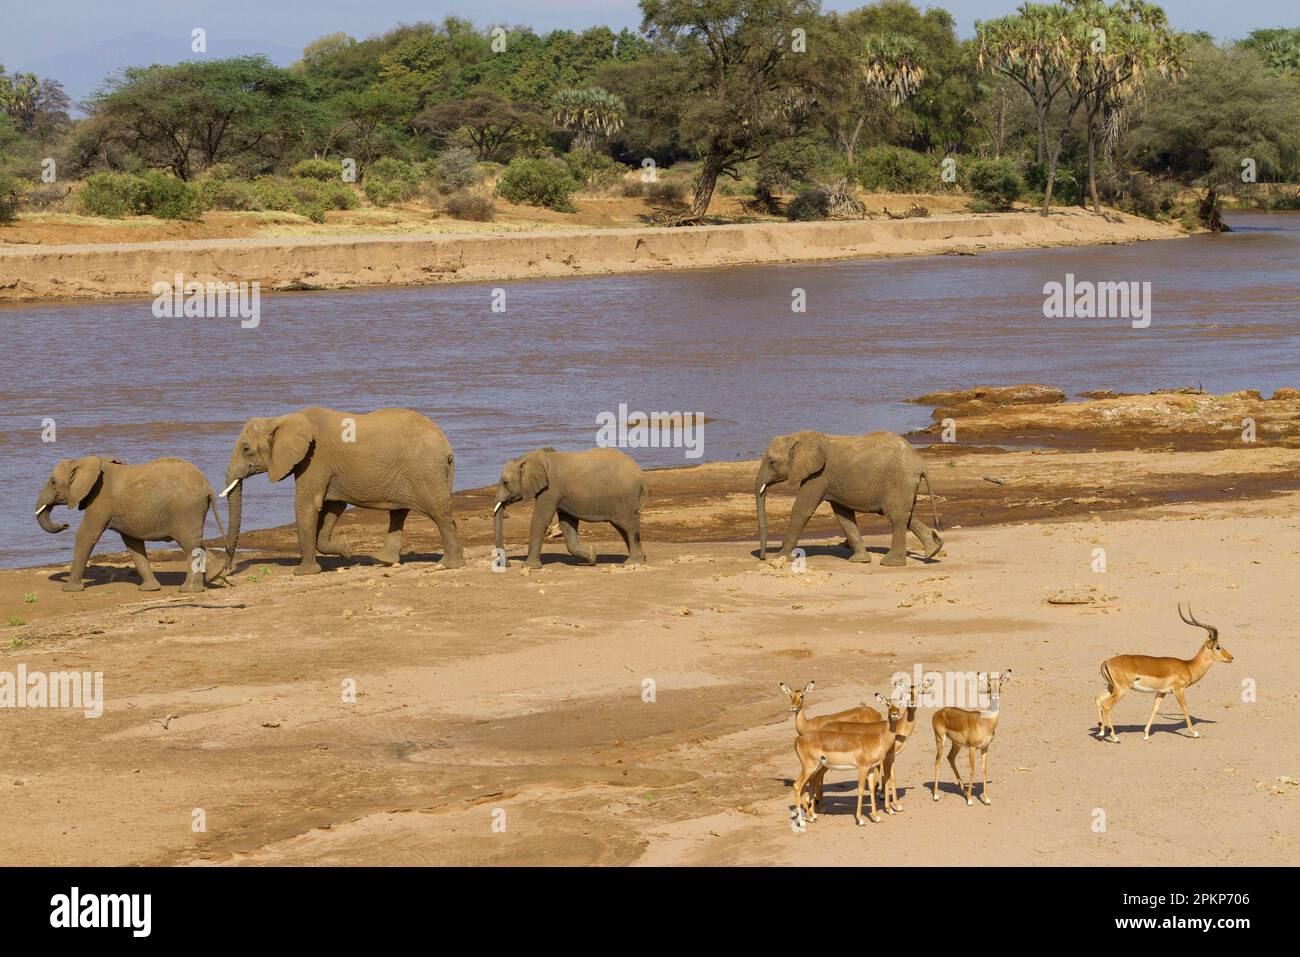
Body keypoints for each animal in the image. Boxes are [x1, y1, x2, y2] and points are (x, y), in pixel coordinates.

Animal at [36, 455, 231, 590]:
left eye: (53, 482)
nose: (65, 524)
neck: (87, 461)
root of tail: (207, 485)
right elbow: (132, 542)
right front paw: (150, 589)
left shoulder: (100, 500)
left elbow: (87, 535)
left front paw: (69, 589)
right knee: (195, 542)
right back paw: (214, 576)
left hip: (186, 510)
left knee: (189, 544)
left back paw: (189, 590)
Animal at [220, 405, 465, 574]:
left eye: (246, 449)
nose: (227, 569)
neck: (282, 419)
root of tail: (447, 446)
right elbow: (332, 507)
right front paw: (346, 550)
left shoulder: (315, 459)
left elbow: (307, 505)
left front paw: (303, 572)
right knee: (399, 513)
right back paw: (383, 560)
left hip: (425, 472)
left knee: (439, 514)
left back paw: (450, 565)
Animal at [488, 447, 647, 566]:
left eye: (505, 482)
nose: (508, 564)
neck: (530, 458)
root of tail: (640, 475)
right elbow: (567, 524)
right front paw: (592, 556)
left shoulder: (551, 489)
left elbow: (541, 519)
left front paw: (529, 566)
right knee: (622, 528)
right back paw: (640, 559)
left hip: (626, 496)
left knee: (628, 527)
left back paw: (632, 562)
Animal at [754, 431, 946, 566]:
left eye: (771, 462)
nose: (762, 557)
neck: (799, 438)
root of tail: (921, 463)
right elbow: (843, 515)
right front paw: (860, 561)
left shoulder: (818, 476)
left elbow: (802, 510)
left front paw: (779, 558)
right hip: (903, 484)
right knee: (907, 515)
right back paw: (934, 550)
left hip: (898, 480)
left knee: (896, 516)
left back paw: (891, 563)